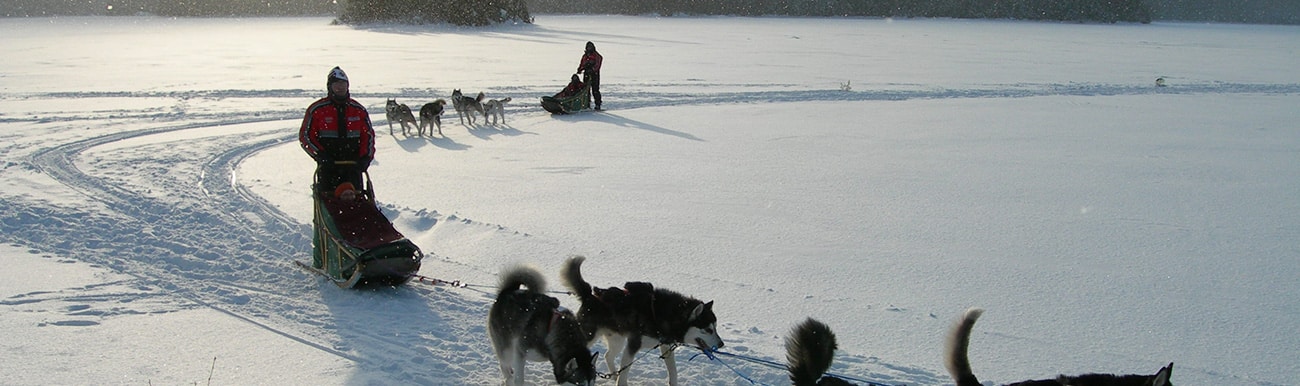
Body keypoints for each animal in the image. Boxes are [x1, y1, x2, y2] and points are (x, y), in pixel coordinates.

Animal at [559, 253, 728, 382]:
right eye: (708, 329)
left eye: (716, 327)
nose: (721, 344)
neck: (661, 314)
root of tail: (590, 296)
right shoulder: (632, 345)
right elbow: (624, 374)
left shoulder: (665, 346)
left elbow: (673, 373)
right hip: (590, 336)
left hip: (617, 340)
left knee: (608, 356)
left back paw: (612, 376)